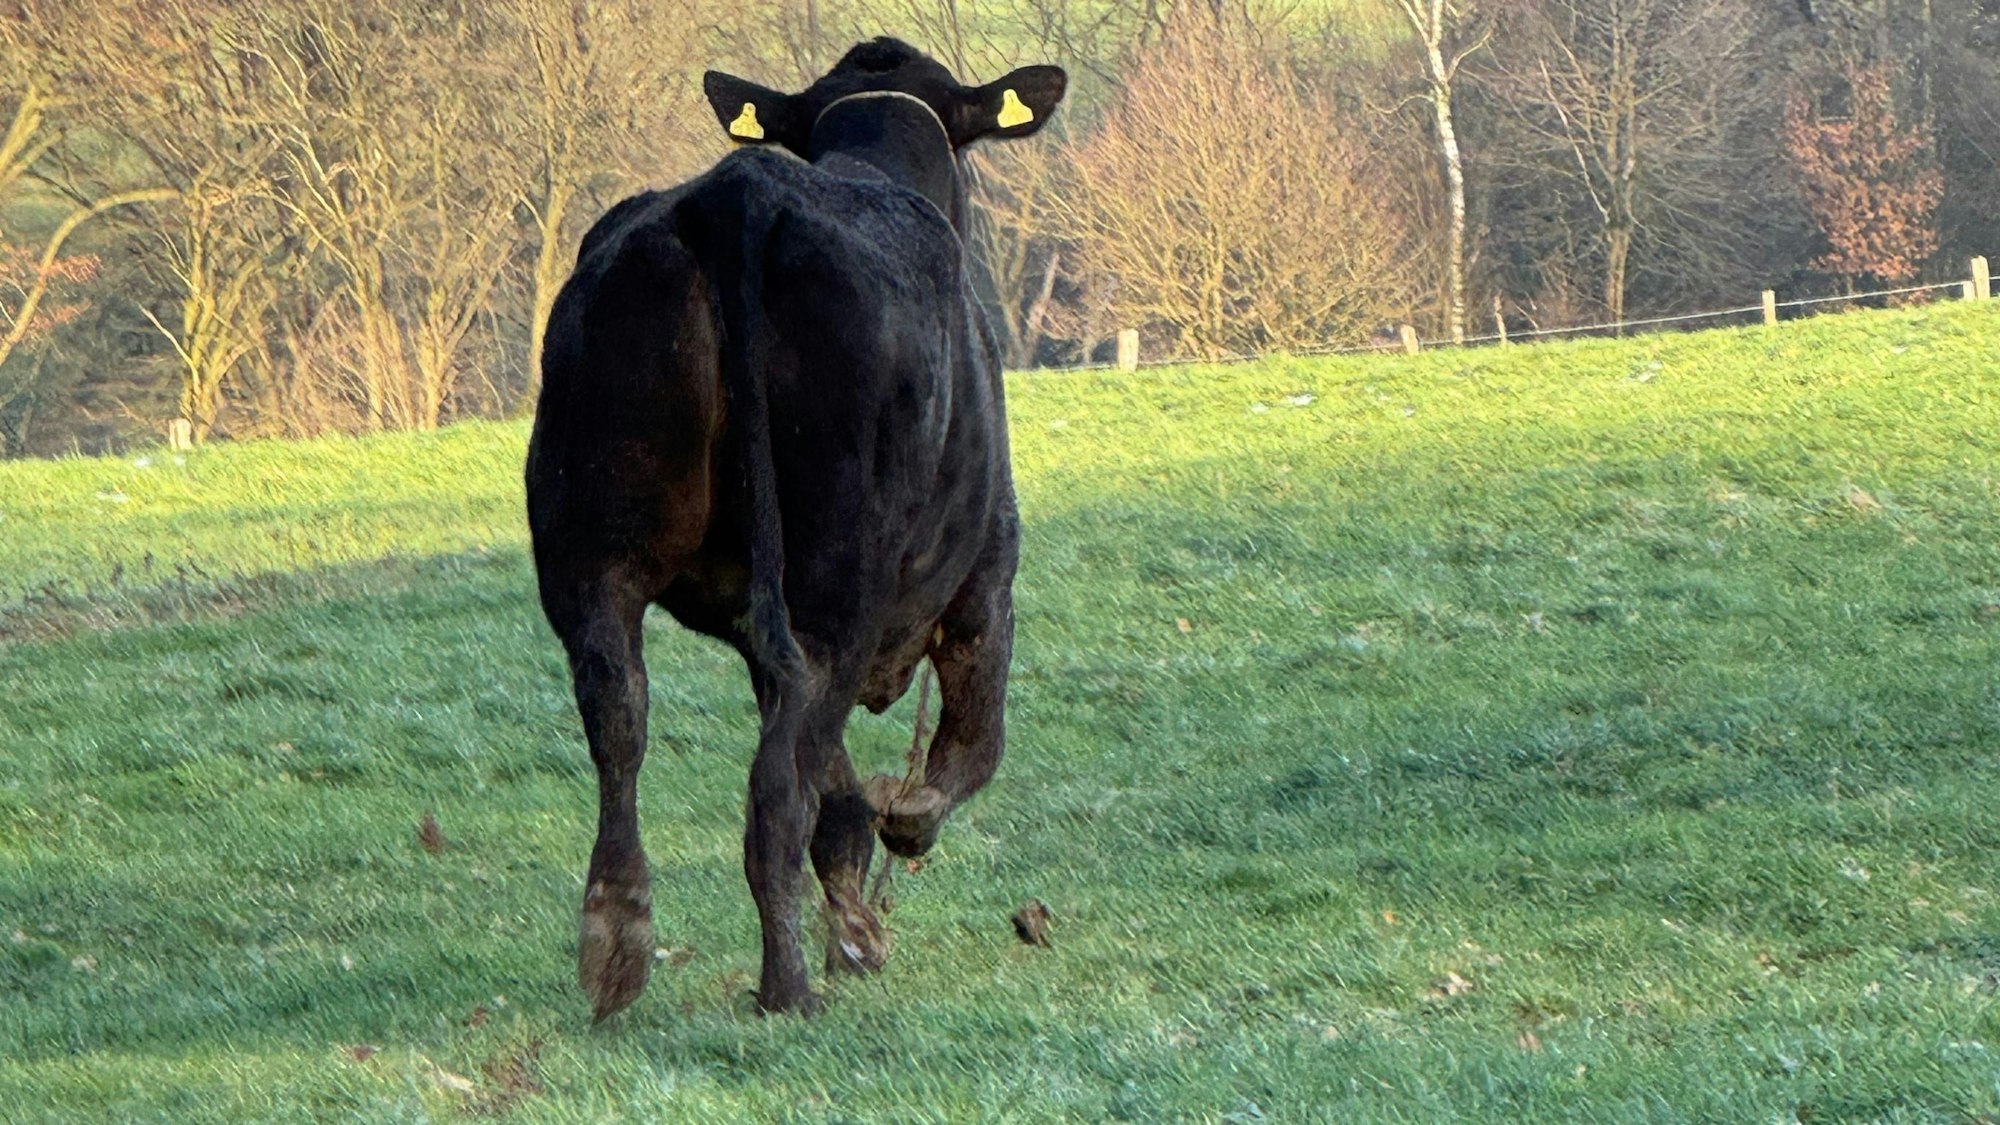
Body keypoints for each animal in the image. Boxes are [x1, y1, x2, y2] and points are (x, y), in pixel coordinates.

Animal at [524, 39, 1066, 1018]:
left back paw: (617, 944)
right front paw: (898, 836)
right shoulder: (987, 579)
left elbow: (839, 781)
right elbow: (966, 752)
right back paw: (788, 984)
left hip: (591, 548)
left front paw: (856, 910)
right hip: (836, 573)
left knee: (621, 712)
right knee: (779, 781)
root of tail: (736, 192)